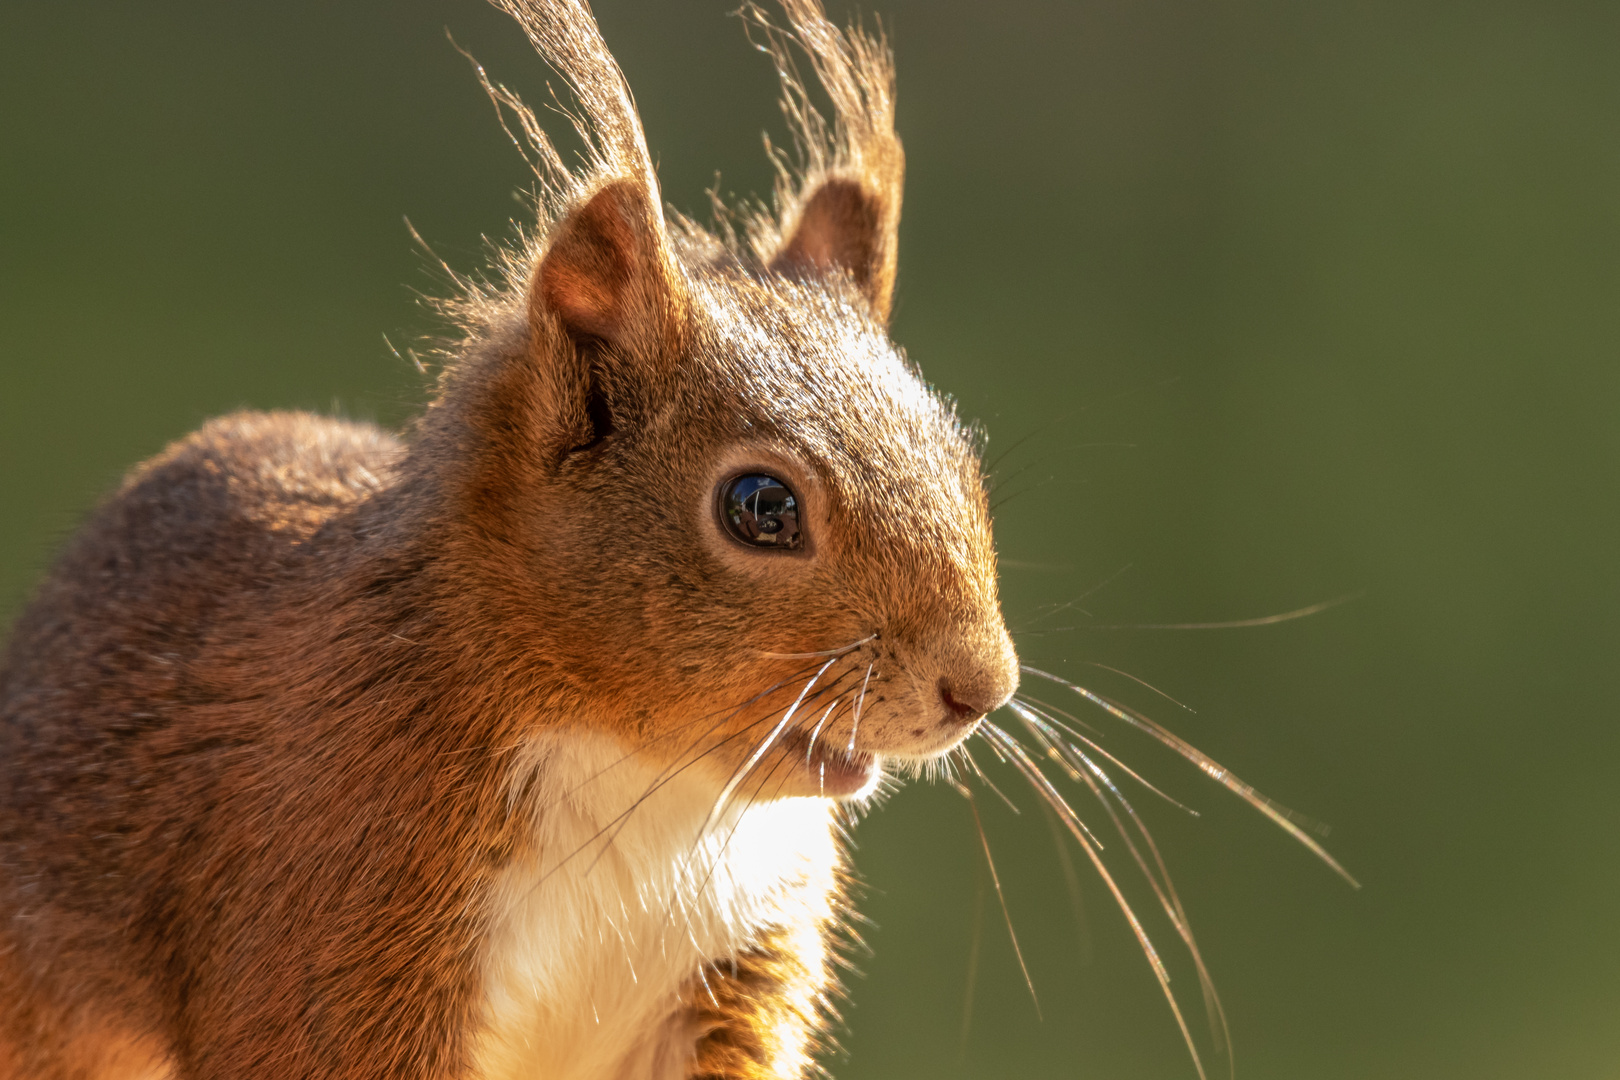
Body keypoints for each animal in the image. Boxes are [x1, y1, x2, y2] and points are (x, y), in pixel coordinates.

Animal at [0, 1, 1021, 1077]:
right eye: (762, 507)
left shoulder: (736, 965)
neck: (648, 787)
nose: (981, 688)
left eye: (959, 449)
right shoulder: (331, 892)